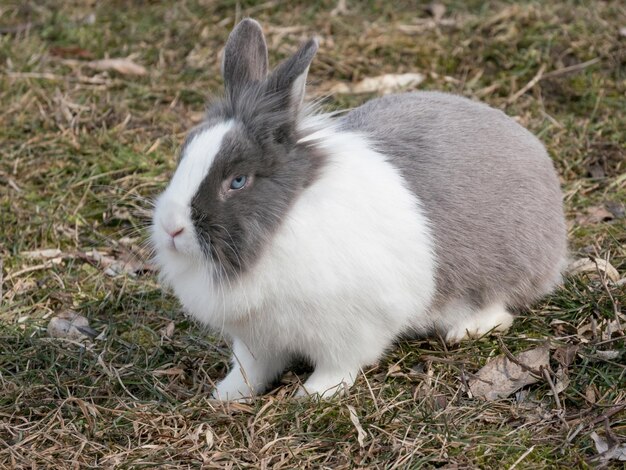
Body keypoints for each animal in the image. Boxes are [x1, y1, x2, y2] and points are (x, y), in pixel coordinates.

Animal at [150, 18, 564, 400]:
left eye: (238, 181)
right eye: (184, 155)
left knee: (501, 304)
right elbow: (251, 368)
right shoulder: (257, 339)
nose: (171, 228)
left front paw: (314, 394)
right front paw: (226, 395)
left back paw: (466, 329)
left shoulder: (352, 328)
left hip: (501, 267)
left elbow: (339, 365)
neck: (281, 225)